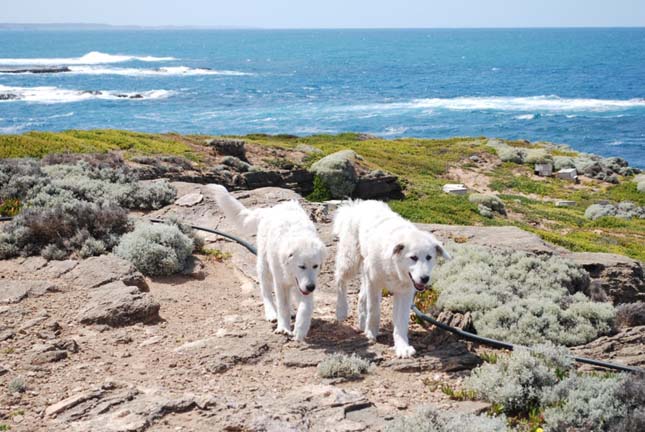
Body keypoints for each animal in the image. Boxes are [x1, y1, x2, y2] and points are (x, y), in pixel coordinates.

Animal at [209, 185, 324, 340]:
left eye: (315, 266)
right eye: (301, 266)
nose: (311, 287)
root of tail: (269, 210)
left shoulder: (305, 283)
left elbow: (305, 307)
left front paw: (300, 329)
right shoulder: (280, 281)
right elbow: (282, 306)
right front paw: (283, 327)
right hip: (264, 266)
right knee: (266, 292)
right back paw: (271, 313)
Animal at [332, 200, 448, 358]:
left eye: (429, 257)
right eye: (413, 257)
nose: (425, 279)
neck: (395, 266)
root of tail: (357, 205)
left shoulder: (405, 292)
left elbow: (401, 321)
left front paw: (402, 347)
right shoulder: (374, 283)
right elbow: (374, 310)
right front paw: (371, 333)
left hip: (365, 270)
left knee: (361, 296)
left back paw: (362, 322)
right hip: (350, 260)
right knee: (340, 279)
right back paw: (341, 310)